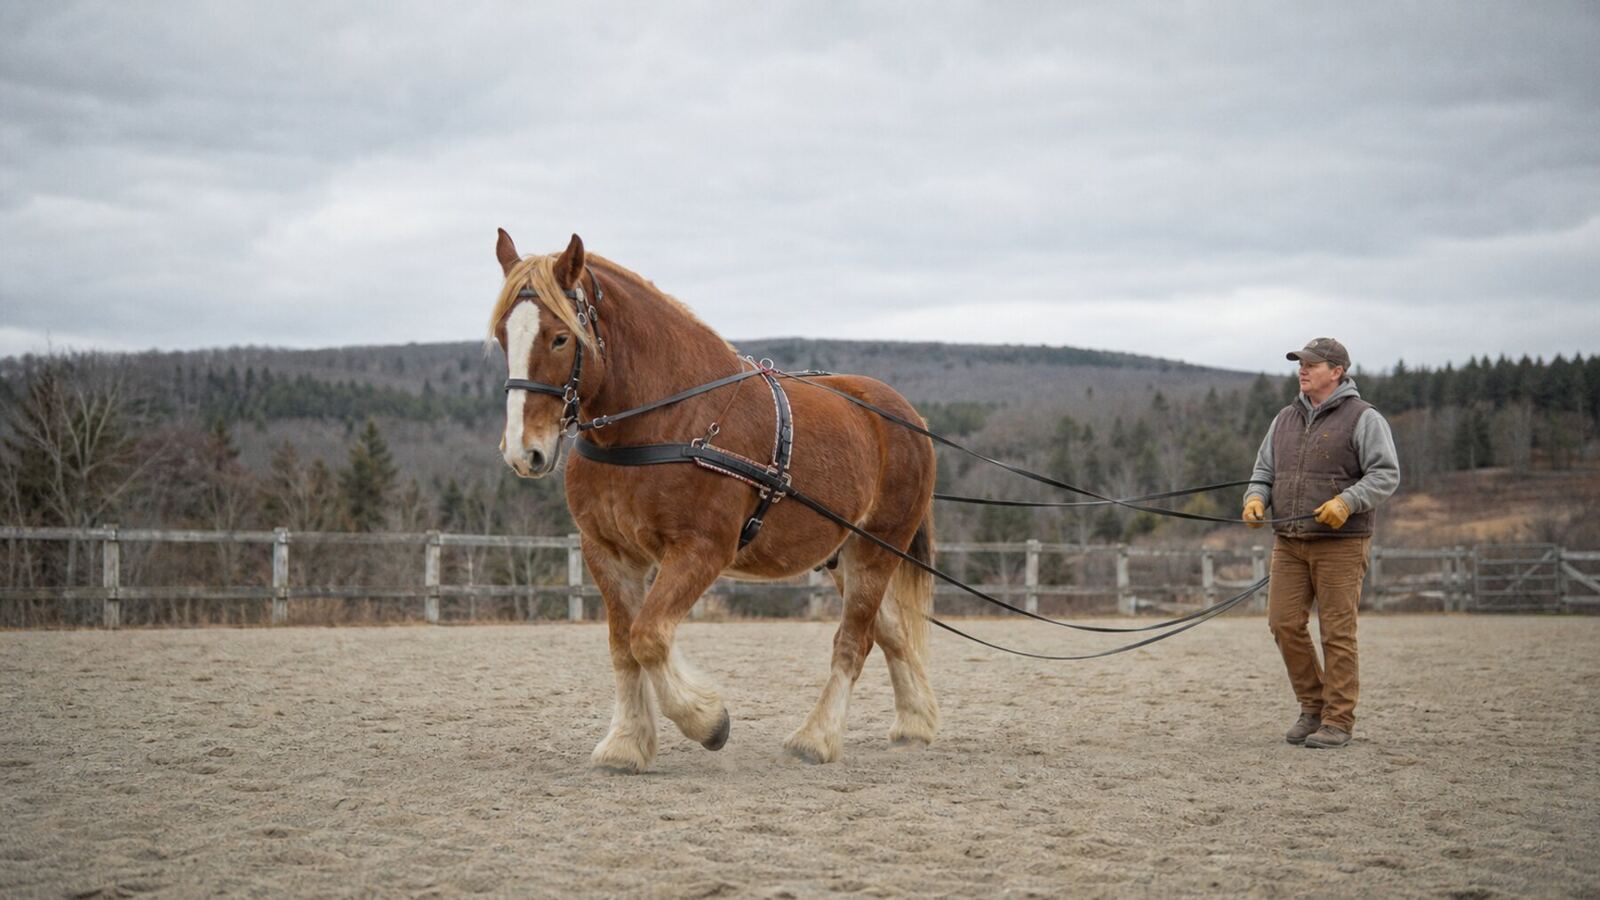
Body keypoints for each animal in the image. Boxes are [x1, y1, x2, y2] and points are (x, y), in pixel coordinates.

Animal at [488, 230, 939, 772]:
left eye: (560, 337)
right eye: (503, 337)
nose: (523, 452)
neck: (664, 422)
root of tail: (905, 415)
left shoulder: (701, 549)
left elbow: (649, 637)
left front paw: (707, 721)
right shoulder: (608, 553)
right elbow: (624, 646)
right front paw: (627, 742)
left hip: (876, 548)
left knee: (855, 640)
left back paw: (816, 738)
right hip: (841, 556)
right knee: (890, 630)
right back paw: (914, 722)